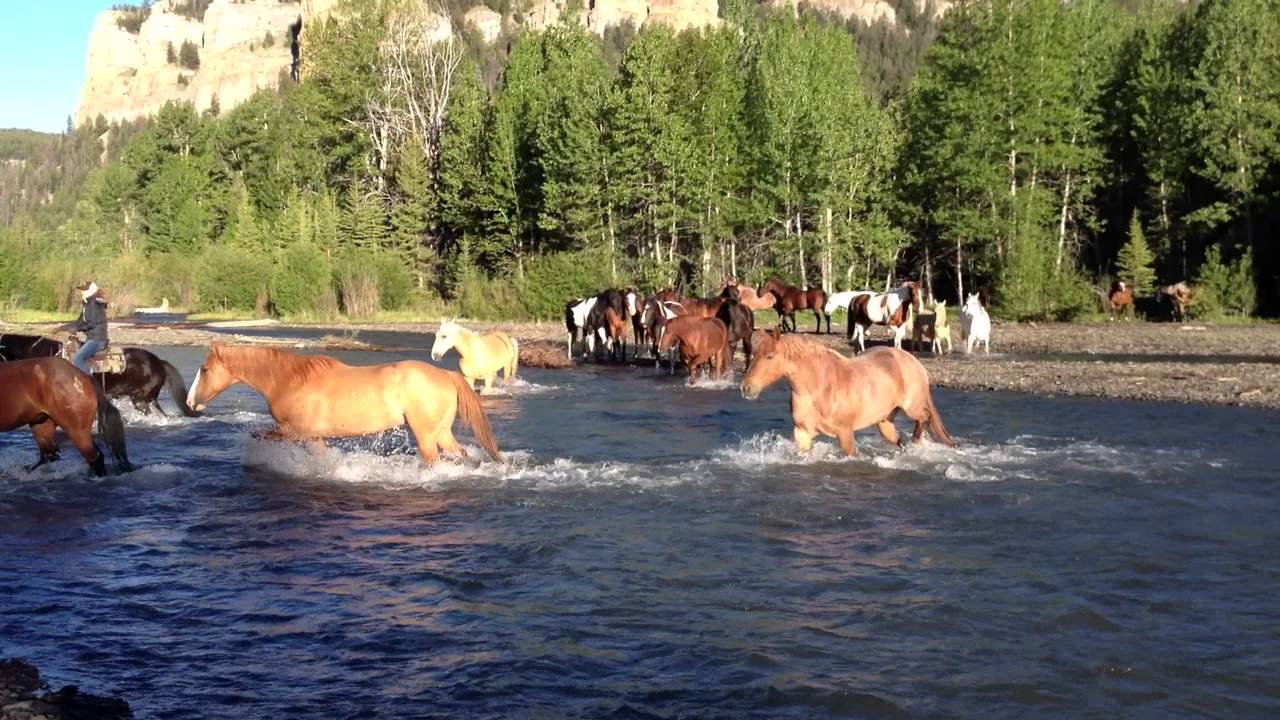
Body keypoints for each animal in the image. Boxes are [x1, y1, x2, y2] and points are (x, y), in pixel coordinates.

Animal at [186, 344, 502, 466]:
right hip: (442, 433)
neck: (287, 380)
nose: (190, 402)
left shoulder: (295, 431)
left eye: (204, 369)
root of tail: (447, 375)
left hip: (426, 436)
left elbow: (259, 436)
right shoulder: (314, 437)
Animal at [740, 330, 956, 456]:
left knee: (924, 417)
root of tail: (913, 360)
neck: (819, 387)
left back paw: (916, 439)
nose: (746, 388)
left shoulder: (845, 433)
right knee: (898, 440)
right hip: (884, 422)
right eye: (754, 354)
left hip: (912, 407)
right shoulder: (802, 433)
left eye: (770, 356)